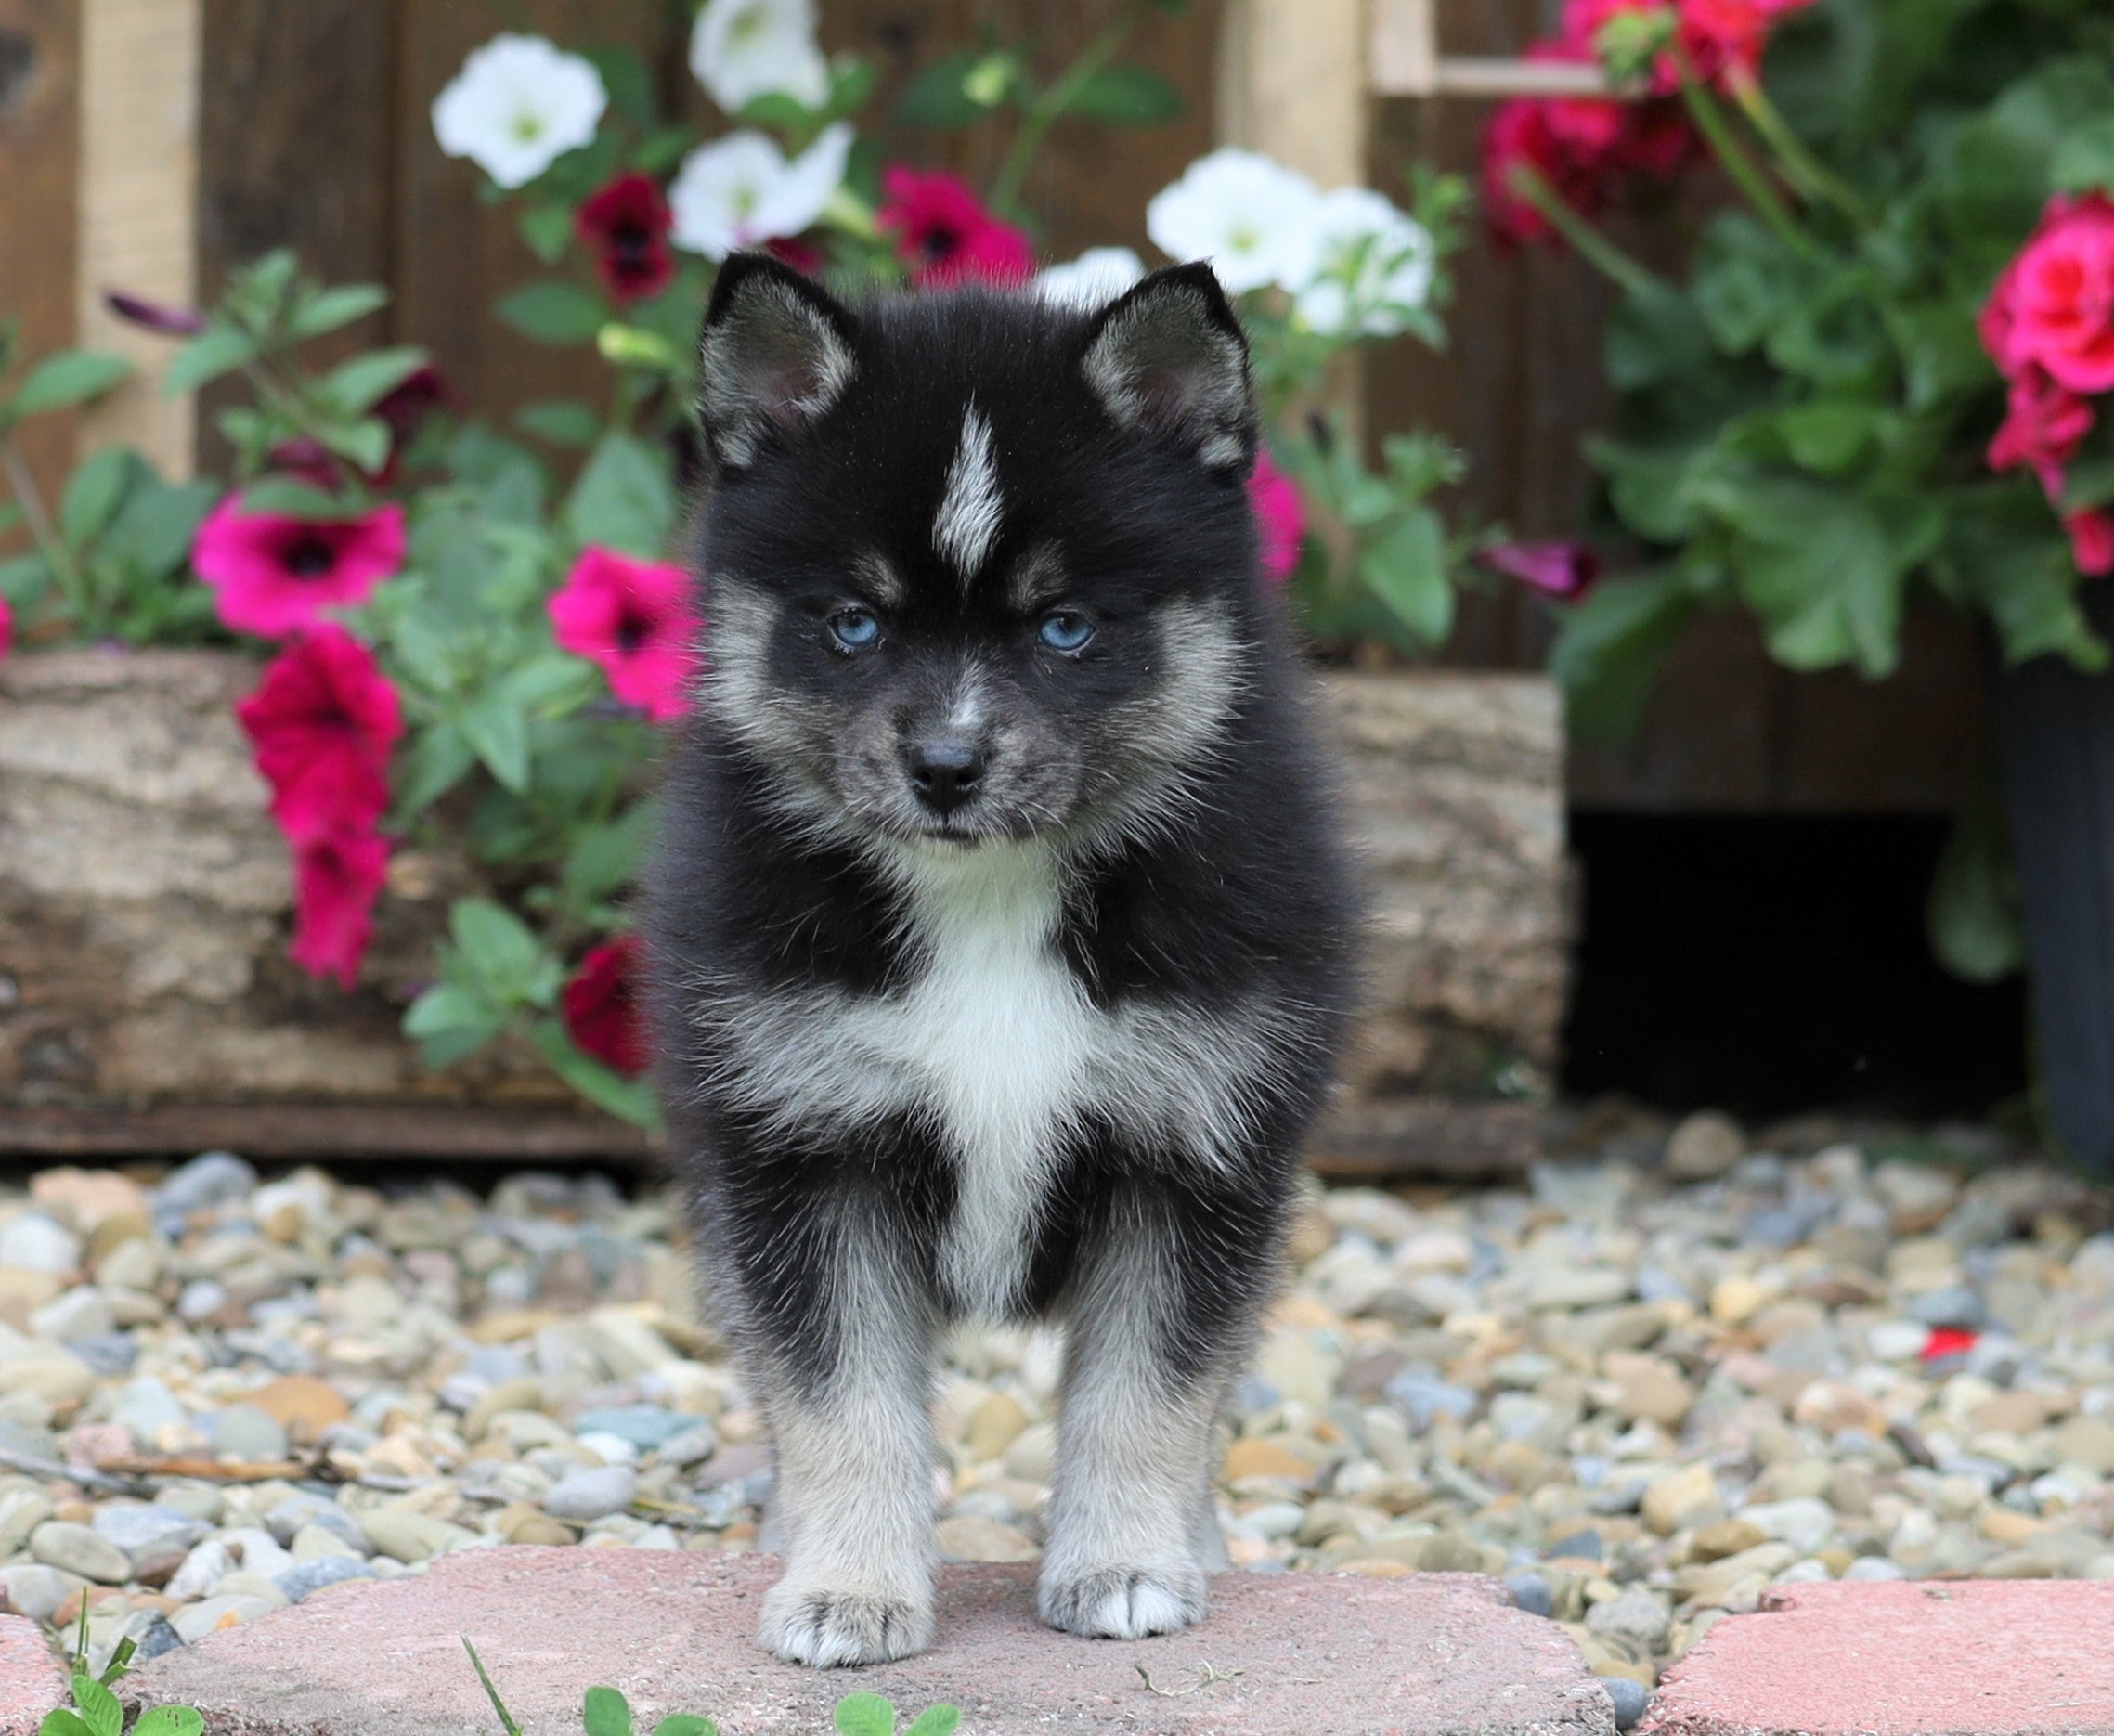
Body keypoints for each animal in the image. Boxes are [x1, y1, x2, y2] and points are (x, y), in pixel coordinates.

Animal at [642, 250, 1361, 1657]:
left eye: (1065, 626)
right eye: (854, 624)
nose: (945, 766)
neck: (987, 902)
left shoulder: (1194, 1151)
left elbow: (1147, 1391)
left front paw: (1128, 1561)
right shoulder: (804, 1151)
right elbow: (840, 1399)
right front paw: (849, 1584)